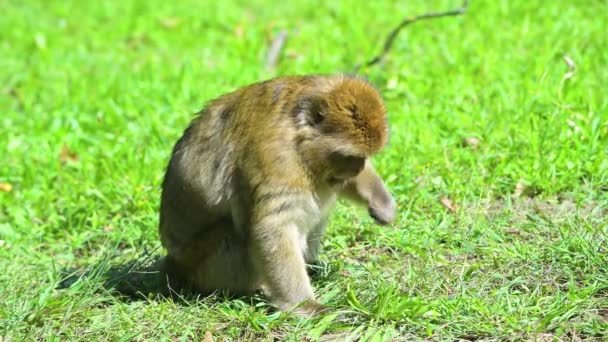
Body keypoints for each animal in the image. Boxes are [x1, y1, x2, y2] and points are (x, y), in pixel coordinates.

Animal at [159, 73, 396, 316]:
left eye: (363, 157)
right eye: (349, 156)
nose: (357, 168)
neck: (299, 142)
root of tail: (174, 266)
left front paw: (381, 202)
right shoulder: (278, 158)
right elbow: (274, 226)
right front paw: (305, 305)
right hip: (204, 266)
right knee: (232, 233)